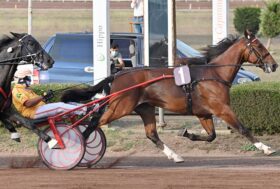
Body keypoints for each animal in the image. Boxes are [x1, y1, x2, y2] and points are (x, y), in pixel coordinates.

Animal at [61, 30, 278, 162]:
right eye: (259, 47)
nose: (274, 65)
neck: (214, 74)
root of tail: (117, 74)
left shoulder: (204, 113)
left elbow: (211, 136)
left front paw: (187, 134)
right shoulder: (222, 109)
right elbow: (243, 129)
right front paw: (266, 148)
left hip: (145, 108)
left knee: (151, 134)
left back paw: (175, 155)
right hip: (119, 107)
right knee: (92, 123)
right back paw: (69, 147)